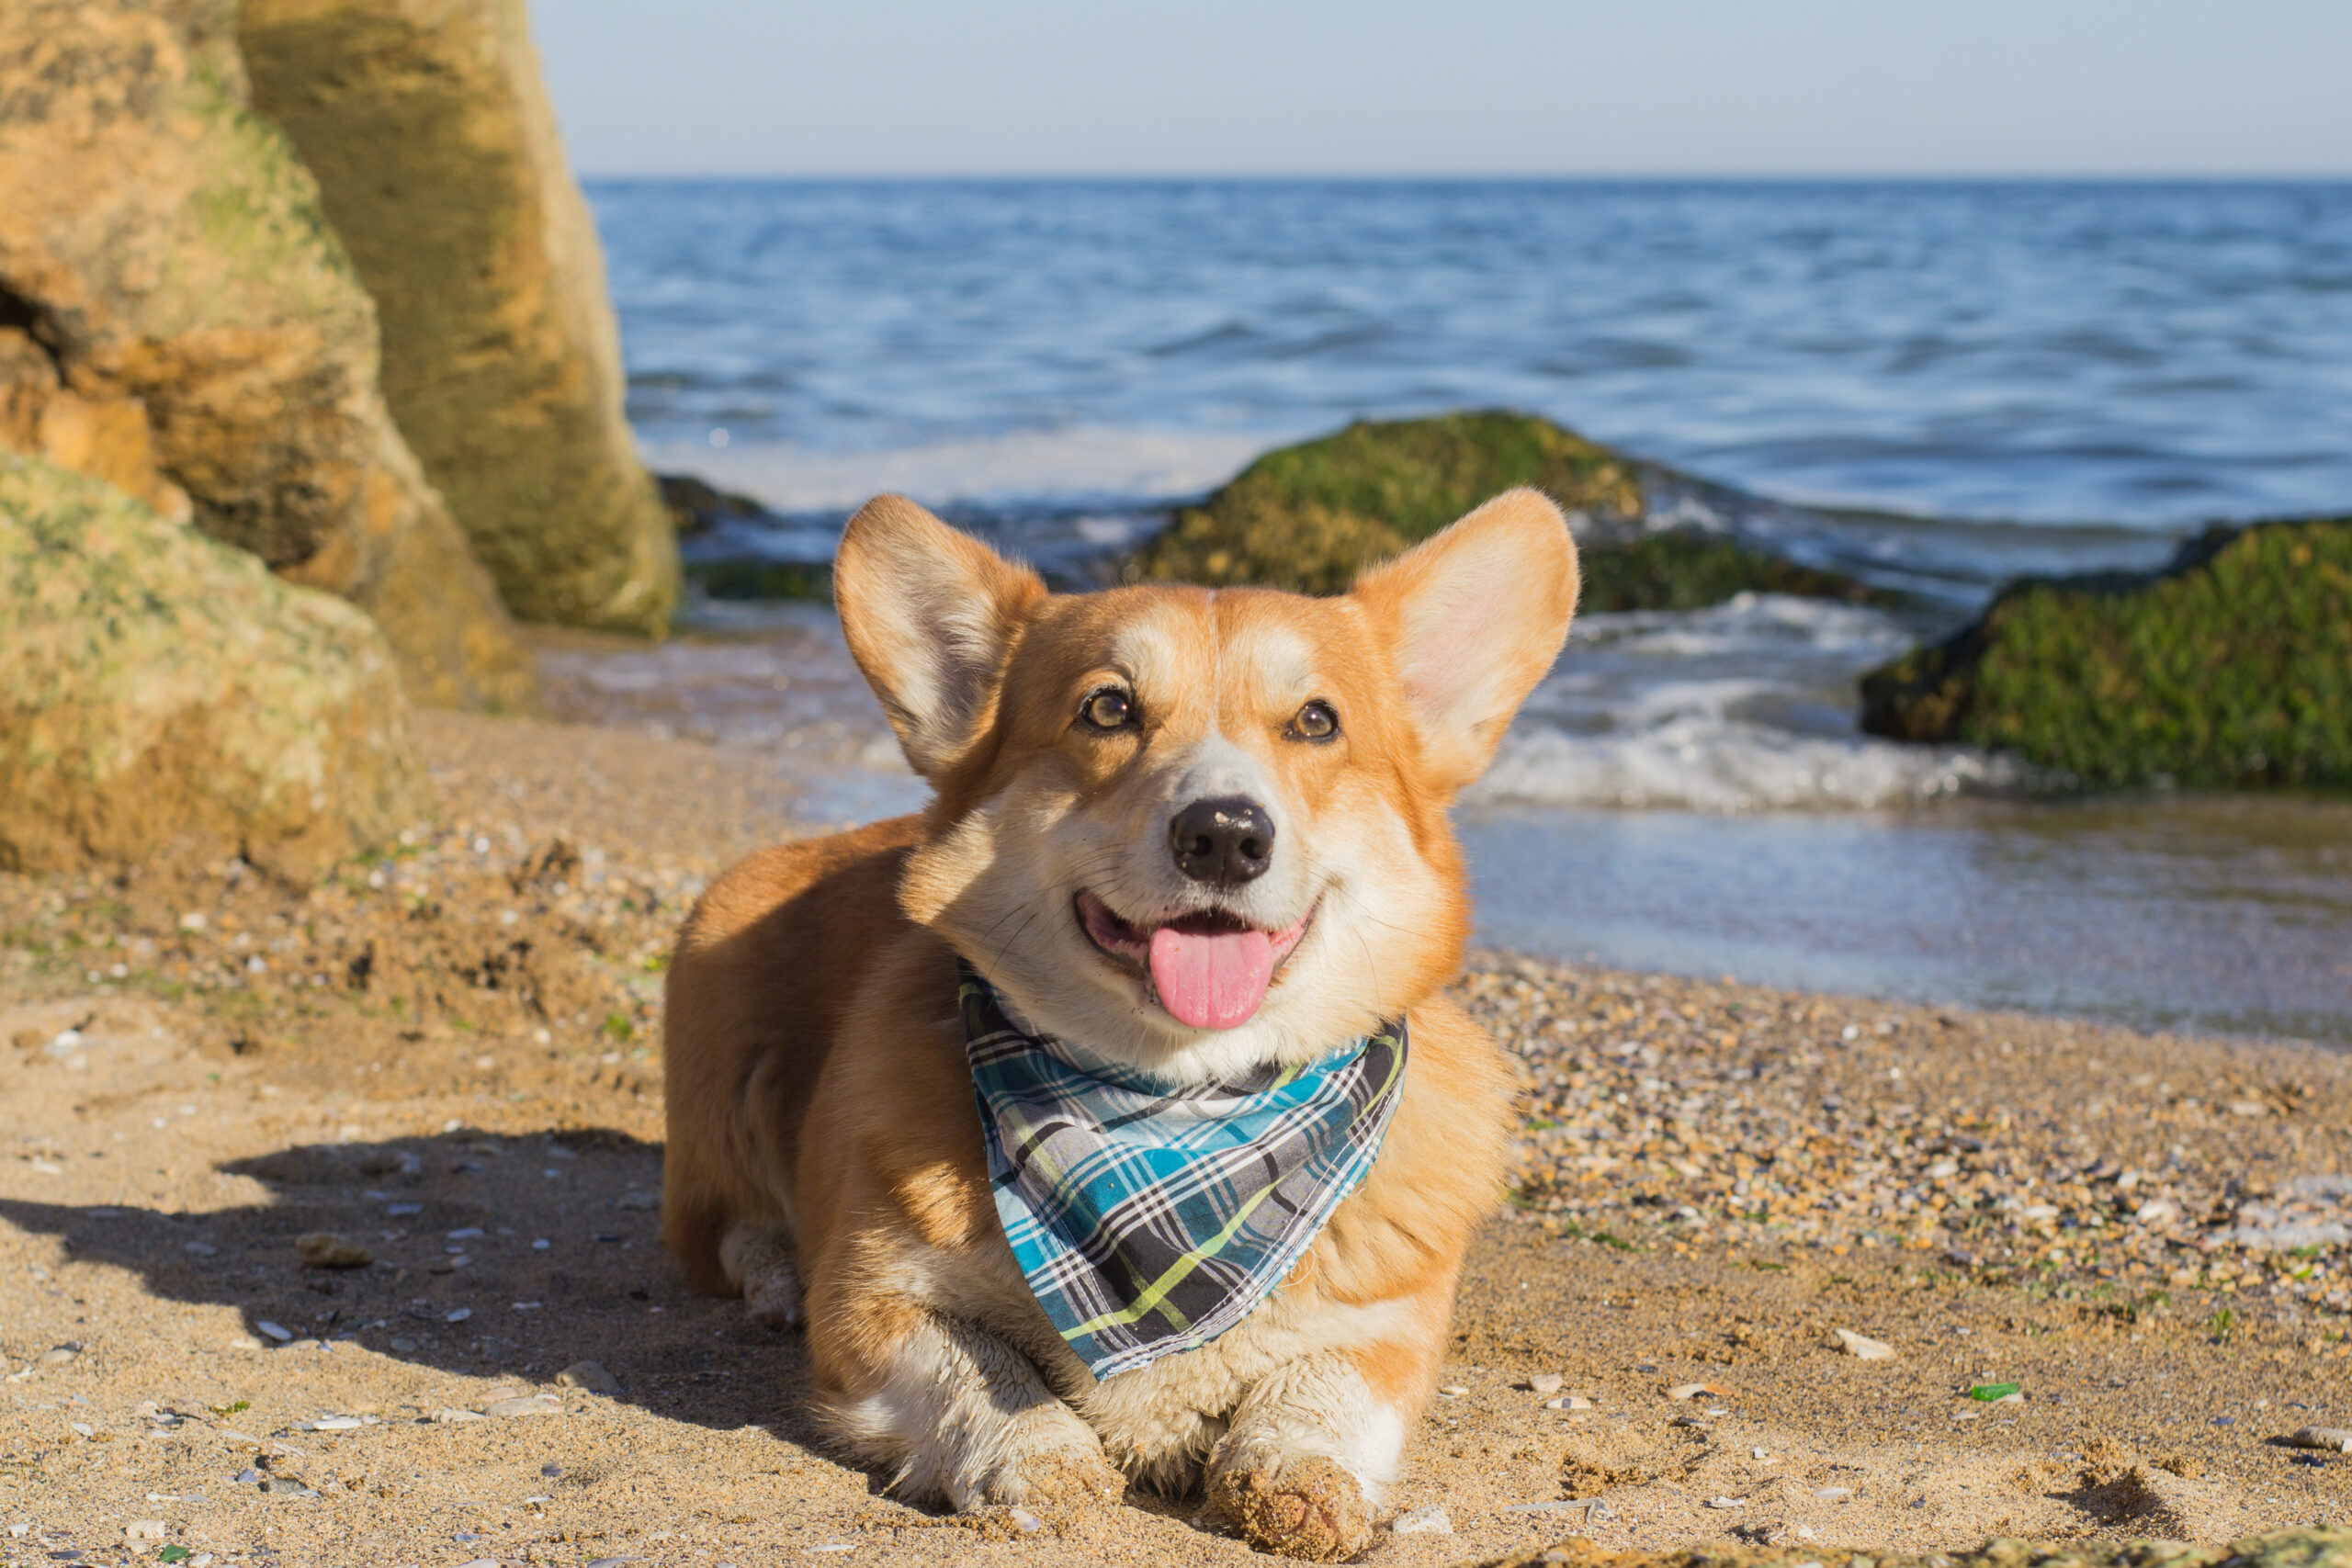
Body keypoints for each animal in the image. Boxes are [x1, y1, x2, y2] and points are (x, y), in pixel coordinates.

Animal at [662, 486, 1580, 1561]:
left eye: (1317, 721)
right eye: (1109, 707)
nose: (1224, 835)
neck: (1176, 1105)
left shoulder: (1390, 1330)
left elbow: (1328, 1385)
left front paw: (1298, 1471)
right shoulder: (871, 1306)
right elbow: (983, 1372)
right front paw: (1040, 1460)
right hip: (714, 1057)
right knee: (729, 1230)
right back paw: (775, 1281)